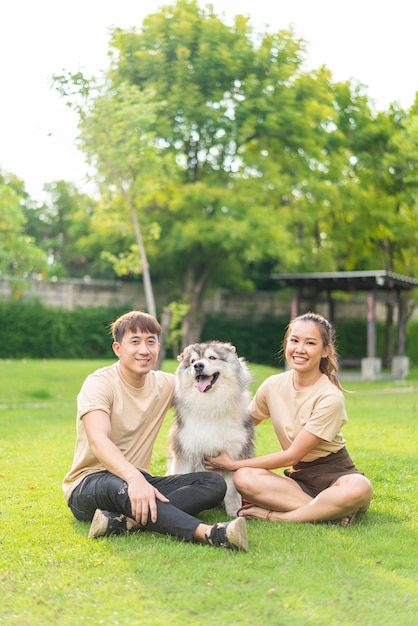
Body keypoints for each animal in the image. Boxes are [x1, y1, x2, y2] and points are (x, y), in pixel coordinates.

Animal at [167, 338, 255, 516]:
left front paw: (234, 512)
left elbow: (231, 491)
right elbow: (181, 477)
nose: (198, 366)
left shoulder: (233, 454)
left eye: (212, 357)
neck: (210, 405)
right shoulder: (184, 453)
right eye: (192, 361)